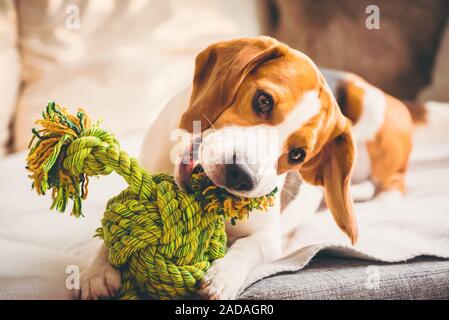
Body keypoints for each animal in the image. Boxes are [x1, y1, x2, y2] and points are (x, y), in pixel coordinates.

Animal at [75, 37, 414, 300]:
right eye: (263, 101)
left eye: (297, 155)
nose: (241, 175)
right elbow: (110, 231)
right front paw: (98, 270)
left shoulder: (270, 239)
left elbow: (248, 248)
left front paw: (223, 275)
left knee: (393, 181)